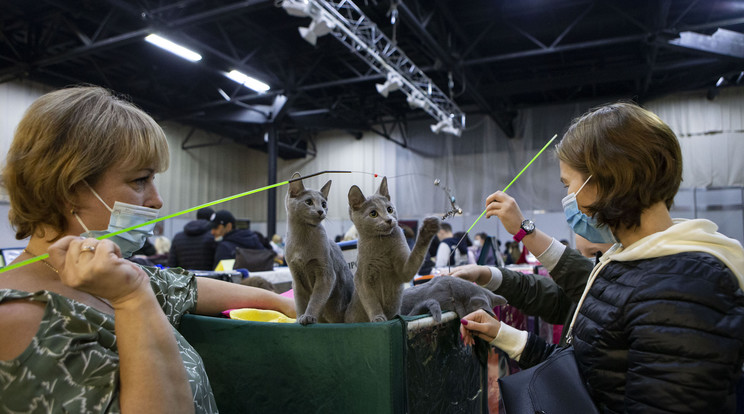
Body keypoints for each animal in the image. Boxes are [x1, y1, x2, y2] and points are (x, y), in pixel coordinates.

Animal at [284, 173, 354, 326]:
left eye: (324, 204)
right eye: (308, 202)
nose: (321, 211)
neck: (302, 239)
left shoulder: (325, 274)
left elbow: (315, 299)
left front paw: (308, 317)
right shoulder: (296, 277)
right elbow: (300, 301)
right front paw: (299, 318)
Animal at [344, 178, 442, 324]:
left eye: (389, 209)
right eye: (373, 213)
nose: (389, 220)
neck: (382, 244)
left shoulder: (403, 271)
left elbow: (413, 262)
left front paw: (427, 230)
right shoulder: (361, 278)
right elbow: (371, 301)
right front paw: (378, 317)